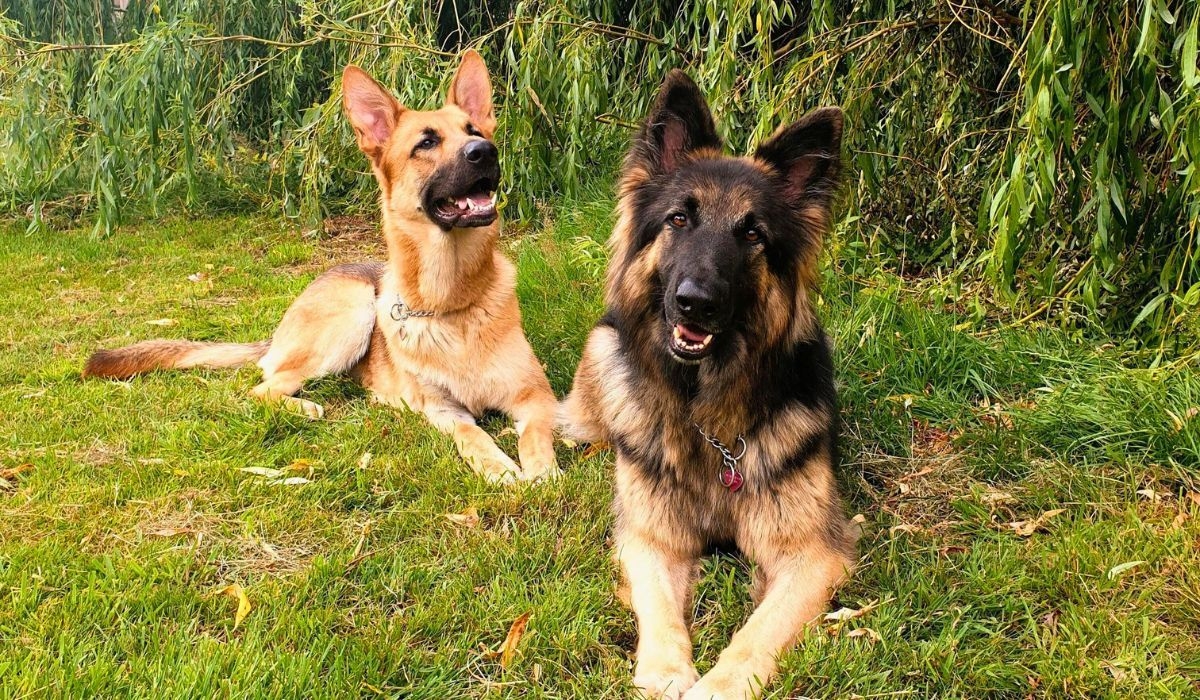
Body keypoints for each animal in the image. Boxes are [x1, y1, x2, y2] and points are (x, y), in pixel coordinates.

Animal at [84, 51, 561, 485]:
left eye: (474, 131)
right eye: (426, 143)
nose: (485, 151)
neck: (452, 302)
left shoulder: (537, 396)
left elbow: (536, 434)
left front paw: (542, 470)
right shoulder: (443, 410)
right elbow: (473, 434)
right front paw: (497, 466)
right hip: (353, 313)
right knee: (263, 387)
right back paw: (305, 405)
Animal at [561, 72, 854, 700]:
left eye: (753, 234)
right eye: (679, 219)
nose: (695, 302)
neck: (707, 418)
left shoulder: (811, 555)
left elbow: (759, 630)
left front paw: (719, 684)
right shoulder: (650, 538)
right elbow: (658, 608)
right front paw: (668, 671)